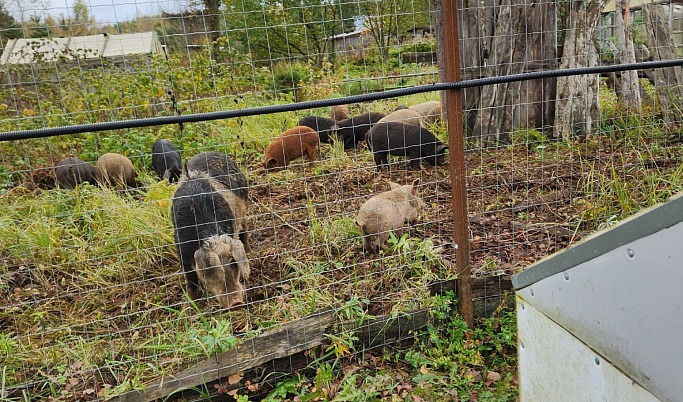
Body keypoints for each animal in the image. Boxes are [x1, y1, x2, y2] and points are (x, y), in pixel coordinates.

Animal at [172, 151, 252, 308]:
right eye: (213, 270)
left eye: (233, 263)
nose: (236, 302)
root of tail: (211, 152)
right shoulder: (182, 253)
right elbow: (191, 281)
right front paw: (190, 305)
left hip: (243, 205)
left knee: (244, 231)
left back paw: (248, 251)